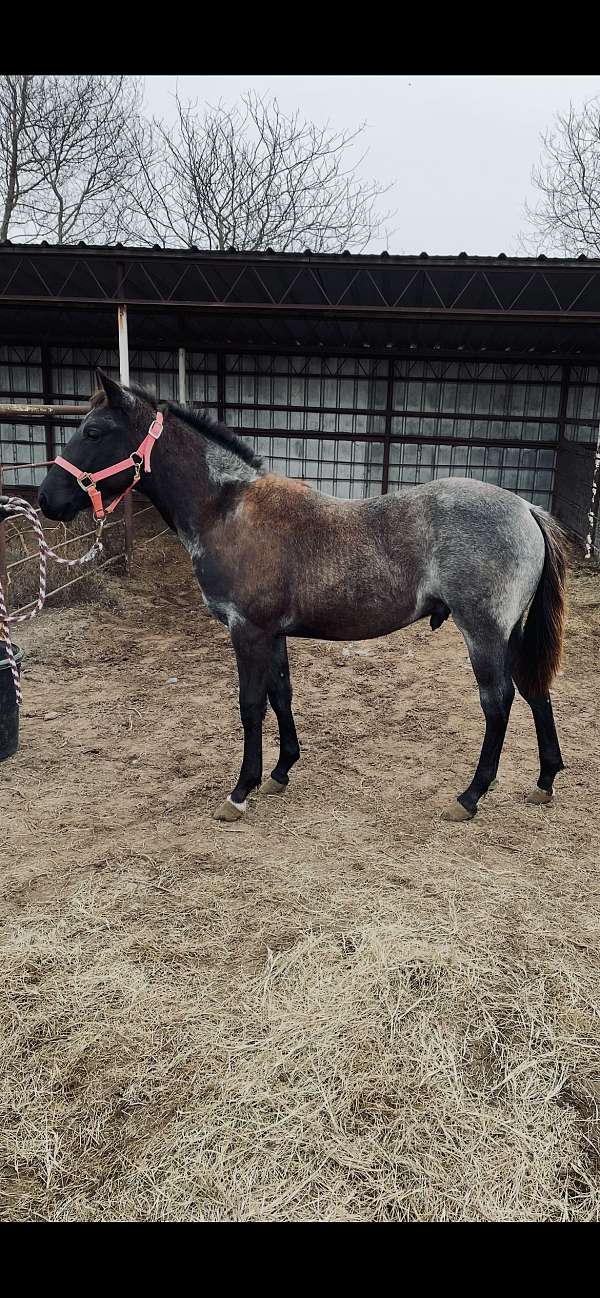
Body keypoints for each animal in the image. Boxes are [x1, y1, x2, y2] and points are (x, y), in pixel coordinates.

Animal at [38, 369, 567, 824]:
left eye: (94, 432)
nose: (48, 499)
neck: (227, 510)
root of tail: (525, 508)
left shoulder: (247, 631)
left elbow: (251, 704)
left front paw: (240, 791)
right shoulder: (272, 633)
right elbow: (280, 693)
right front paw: (280, 771)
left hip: (483, 633)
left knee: (498, 701)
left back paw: (470, 796)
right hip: (510, 633)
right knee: (533, 689)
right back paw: (544, 781)